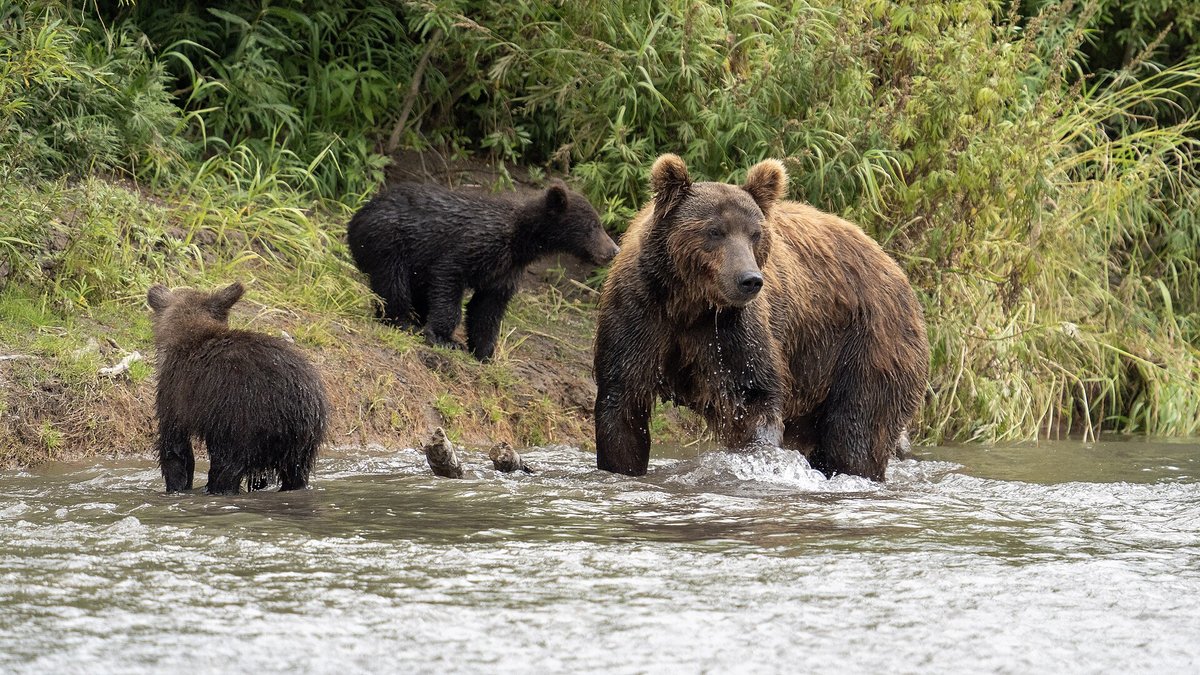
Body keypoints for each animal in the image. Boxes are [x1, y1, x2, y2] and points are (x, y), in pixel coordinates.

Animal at [146, 281, 329, 495]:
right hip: (303, 443)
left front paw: (177, 486)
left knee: (226, 468)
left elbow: (175, 447)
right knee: (296, 474)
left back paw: (216, 488)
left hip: (244, 422)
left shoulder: (175, 393)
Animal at [345, 180, 619, 361]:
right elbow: (449, 279)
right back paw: (403, 321)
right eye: (593, 226)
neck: (521, 242)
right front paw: (444, 338)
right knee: (392, 282)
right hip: (389, 242)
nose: (614, 250)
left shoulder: (506, 270)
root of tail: (357, 216)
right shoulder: (475, 246)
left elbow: (487, 309)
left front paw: (485, 352)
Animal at [593, 154, 929, 481]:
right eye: (714, 231)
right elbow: (622, 405)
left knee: (857, 432)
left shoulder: (732, 332)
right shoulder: (642, 317)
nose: (749, 280)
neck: (690, 303)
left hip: (866, 345)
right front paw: (622, 465)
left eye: (755, 234)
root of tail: (894, 267)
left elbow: (754, 396)